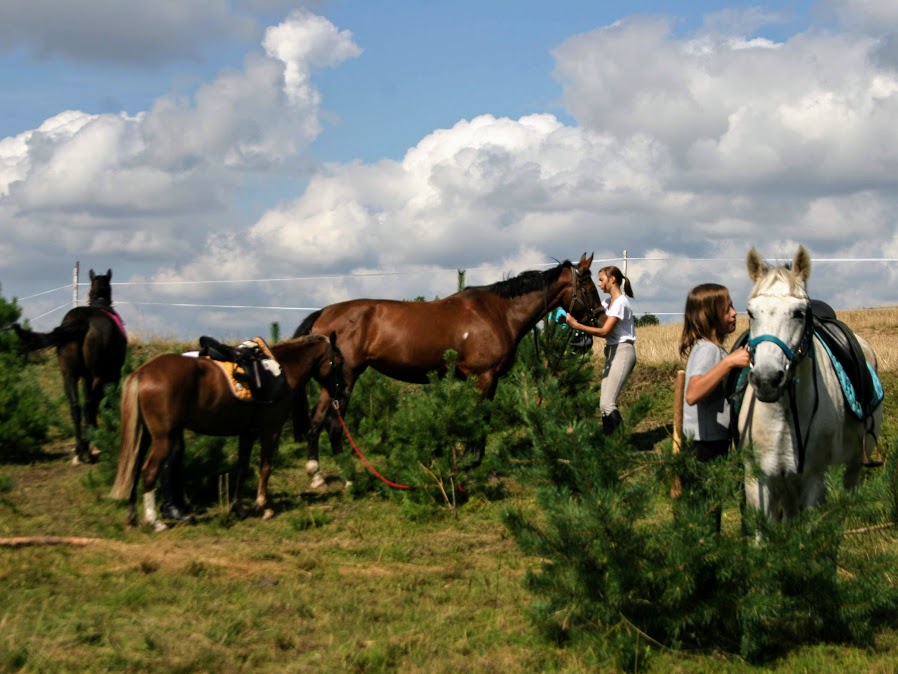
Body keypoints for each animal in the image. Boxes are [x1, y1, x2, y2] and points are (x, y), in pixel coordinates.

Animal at [13, 268, 127, 462]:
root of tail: (83, 320)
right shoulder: (112, 375)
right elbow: (103, 403)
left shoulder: (85, 377)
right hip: (97, 376)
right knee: (89, 405)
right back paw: (87, 448)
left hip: (69, 375)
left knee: (75, 406)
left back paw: (80, 448)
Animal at [106, 330, 344, 532]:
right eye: (338, 362)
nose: (340, 392)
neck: (283, 370)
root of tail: (142, 372)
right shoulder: (270, 430)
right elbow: (265, 467)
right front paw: (263, 506)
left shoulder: (248, 433)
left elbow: (242, 468)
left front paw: (238, 508)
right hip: (165, 437)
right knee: (149, 471)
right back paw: (155, 521)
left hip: (146, 436)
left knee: (135, 469)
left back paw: (134, 516)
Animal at [294, 251, 600, 484]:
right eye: (589, 287)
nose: (597, 321)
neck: (498, 313)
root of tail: (323, 314)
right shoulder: (484, 377)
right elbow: (480, 419)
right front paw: (470, 466)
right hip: (345, 379)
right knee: (334, 425)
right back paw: (349, 477)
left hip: (331, 384)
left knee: (317, 420)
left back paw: (316, 474)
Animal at [736, 245, 880, 520]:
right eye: (750, 313)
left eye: (798, 313)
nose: (767, 379)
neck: (783, 416)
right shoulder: (758, 483)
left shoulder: (814, 481)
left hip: (854, 463)